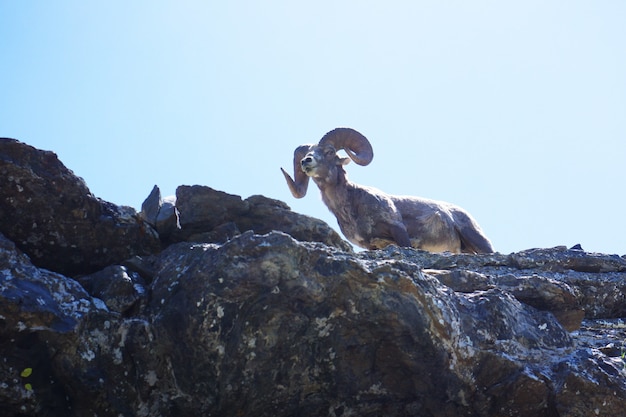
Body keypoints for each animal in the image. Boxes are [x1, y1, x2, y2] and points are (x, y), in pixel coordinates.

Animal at [282, 127, 492, 252]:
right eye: (308, 152)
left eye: (329, 151)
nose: (306, 161)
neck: (350, 209)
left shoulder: (397, 228)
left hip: (476, 239)